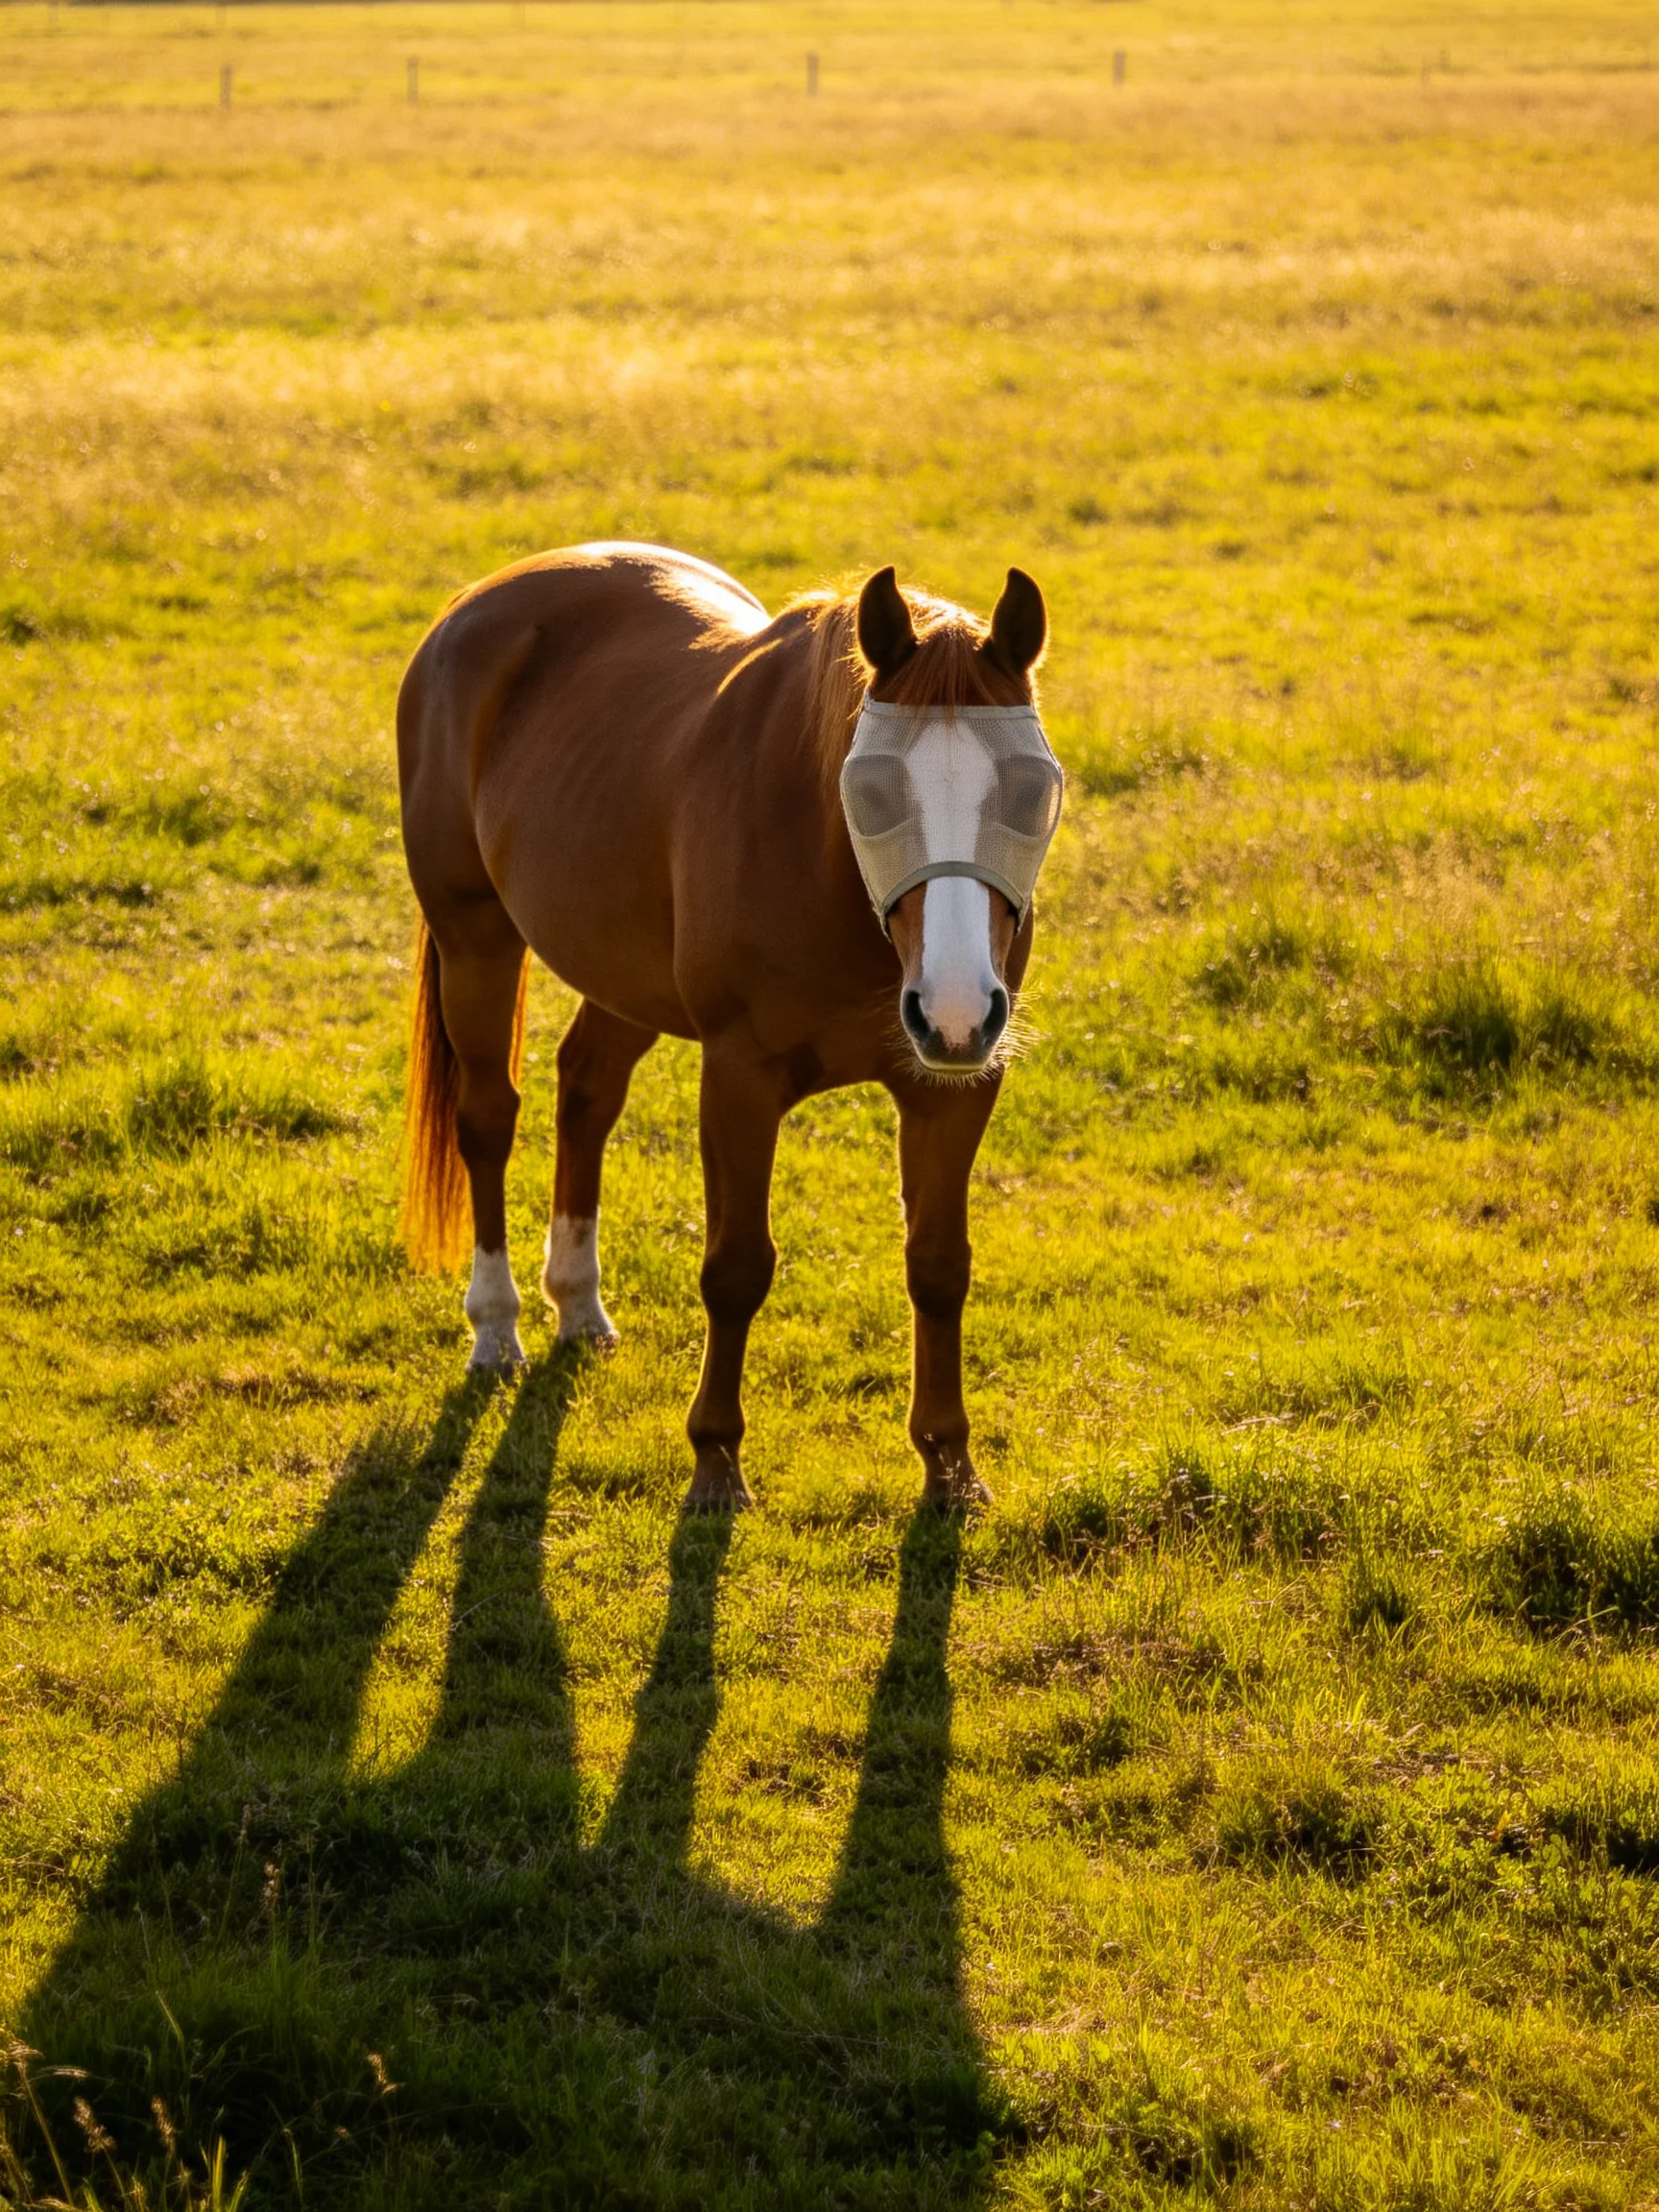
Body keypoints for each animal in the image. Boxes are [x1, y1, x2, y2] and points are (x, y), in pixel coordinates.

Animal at [395, 543, 1059, 1511]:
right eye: (869, 790)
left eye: (1033, 789)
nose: (953, 1007)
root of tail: (477, 605)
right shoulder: (739, 1078)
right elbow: (736, 1268)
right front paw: (715, 1461)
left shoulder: (955, 1085)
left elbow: (938, 1266)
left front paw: (949, 1466)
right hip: (473, 938)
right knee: (487, 1119)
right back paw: (497, 1325)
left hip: (619, 973)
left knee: (586, 1091)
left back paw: (578, 1302)